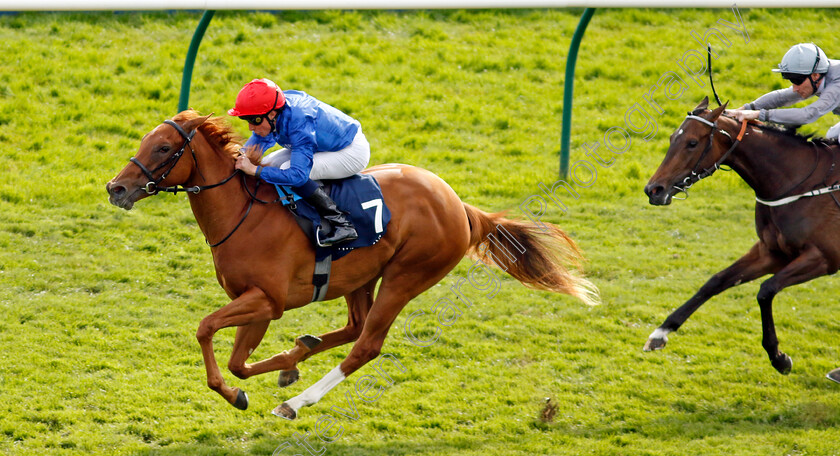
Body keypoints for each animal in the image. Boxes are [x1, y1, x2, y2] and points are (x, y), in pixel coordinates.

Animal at [105, 111, 600, 420]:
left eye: (163, 148)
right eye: (145, 142)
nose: (116, 188)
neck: (242, 213)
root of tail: (458, 205)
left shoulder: (266, 301)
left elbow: (209, 332)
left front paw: (242, 391)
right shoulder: (257, 304)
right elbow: (239, 362)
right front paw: (284, 363)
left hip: (406, 277)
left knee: (367, 344)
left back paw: (296, 403)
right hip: (360, 276)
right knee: (356, 327)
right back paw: (301, 356)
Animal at [644, 98, 840, 382]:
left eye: (692, 142)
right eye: (672, 138)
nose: (653, 190)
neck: (800, 183)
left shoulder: (825, 258)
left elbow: (766, 290)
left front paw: (779, 358)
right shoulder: (772, 252)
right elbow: (715, 281)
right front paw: (661, 333)